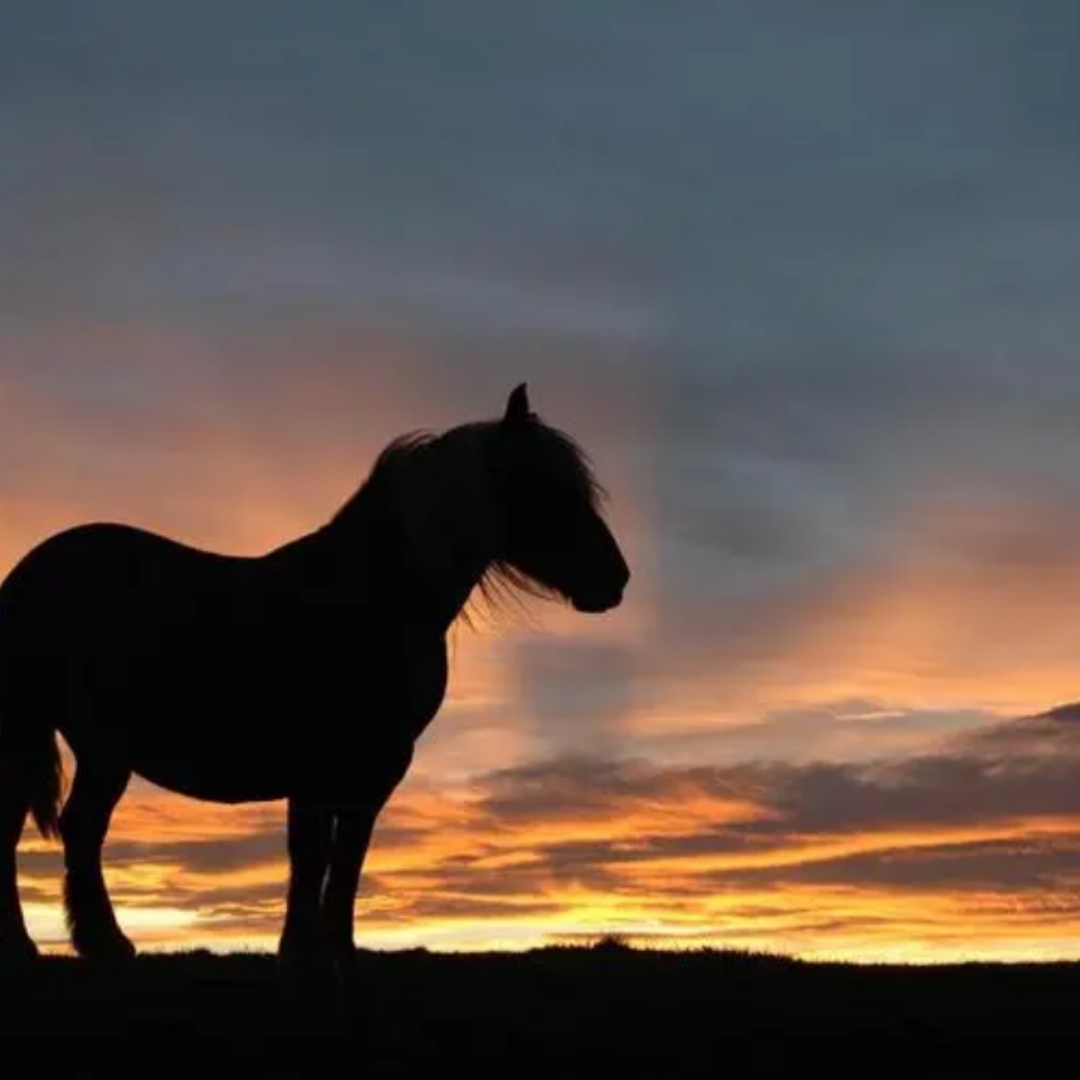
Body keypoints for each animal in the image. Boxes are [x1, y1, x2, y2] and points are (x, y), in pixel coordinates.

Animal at [0, 382, 629, 976]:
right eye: (546, 488)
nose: (616, 579)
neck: (375, 595)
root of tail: (28, 575)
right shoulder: (325, 762)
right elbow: (314, 854)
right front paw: (304, 954)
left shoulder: (370, 769)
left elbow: (343, 859)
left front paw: (334, 953)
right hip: (101, 746)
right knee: (79, 829)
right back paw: (95, 945)